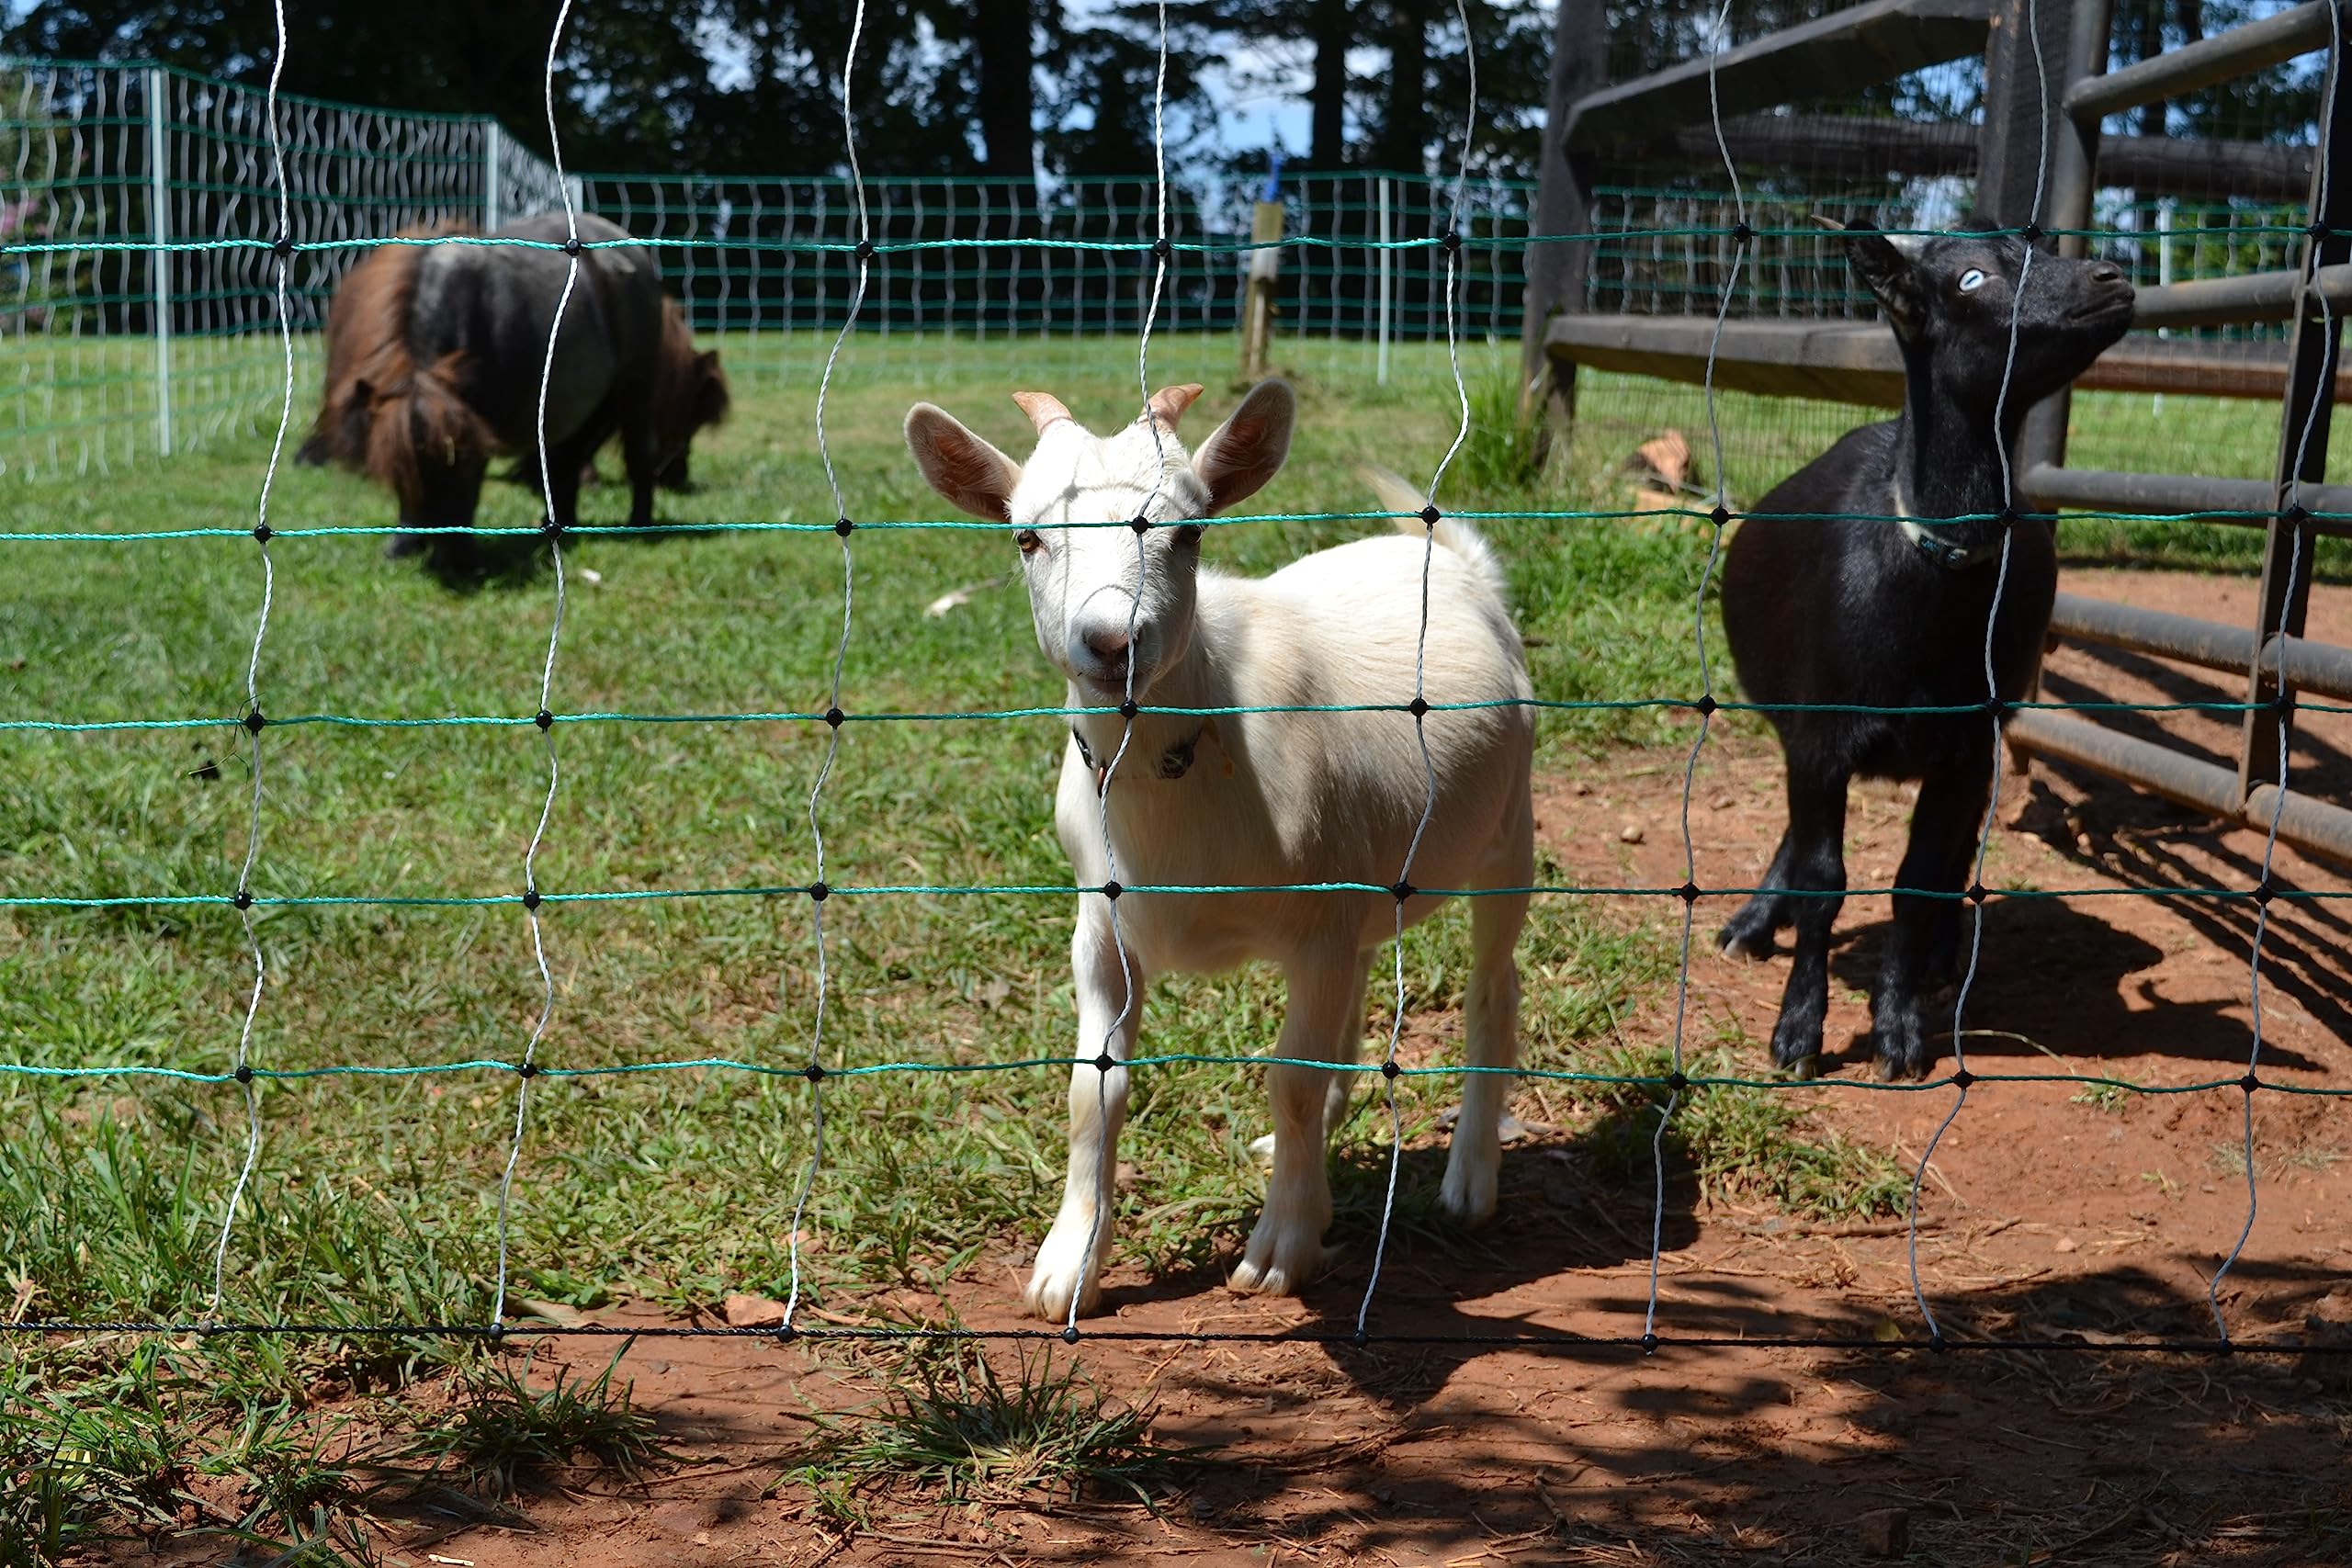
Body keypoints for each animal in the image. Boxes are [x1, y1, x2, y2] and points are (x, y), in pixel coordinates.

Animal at [904, 381, 1536, 1319]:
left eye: (1188, 532)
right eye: (1027, 537)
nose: (1112, 640)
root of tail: (1458, 564)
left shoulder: (1316, 925)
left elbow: (1290, 1075)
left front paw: (1282, 1248)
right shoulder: (1103, 929)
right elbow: (1093, 1089)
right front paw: (1068, 1265)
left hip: (1508, 831)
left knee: (1492, 989)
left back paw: (1469, 1181)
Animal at [1718, 219, 2133, 1080]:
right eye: (1971, 279)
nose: (2113, 278)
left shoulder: (1963, 744)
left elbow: (1916, 880)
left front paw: (1900, 1028)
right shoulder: (1821, 735)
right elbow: (1825, 880)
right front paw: (1798, 1030)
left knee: (1953, 855)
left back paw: (1942, 960)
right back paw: (1755, 922)